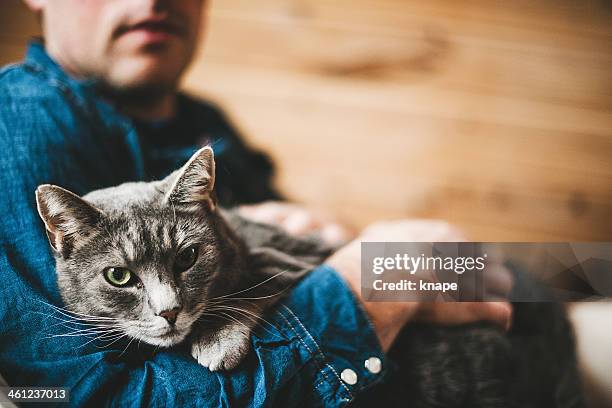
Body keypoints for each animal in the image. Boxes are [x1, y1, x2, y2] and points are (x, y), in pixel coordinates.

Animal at [35, 147, 332, 370]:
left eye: (187, 257)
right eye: (118, 276)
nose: (169, 311)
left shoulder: (293, 257)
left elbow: (250, 287)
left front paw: (218, 341)